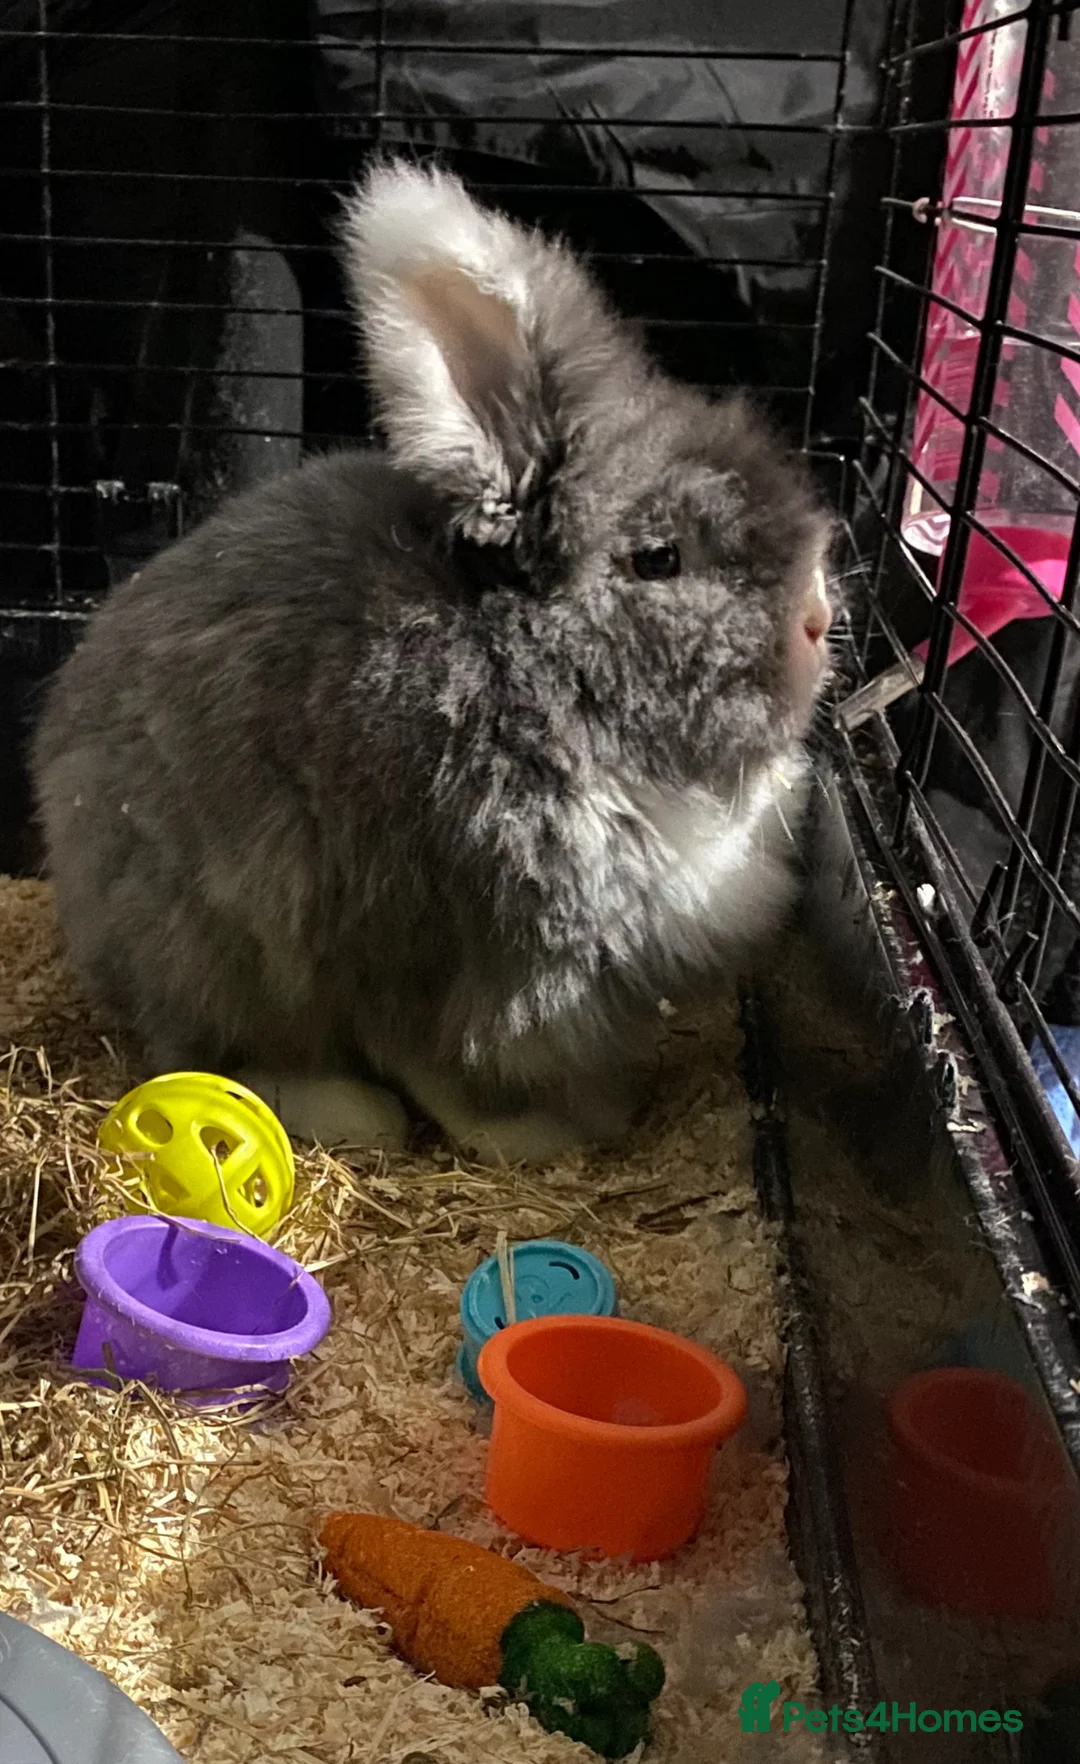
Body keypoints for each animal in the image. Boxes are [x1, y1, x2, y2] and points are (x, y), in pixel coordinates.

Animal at [31, 160, 834, 1164]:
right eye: (660, 558)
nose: (819, 617)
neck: (532, 663)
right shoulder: (448, 952)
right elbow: (440, 1072)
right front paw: (547, 1135)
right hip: (211, 949)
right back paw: (341, 1111)